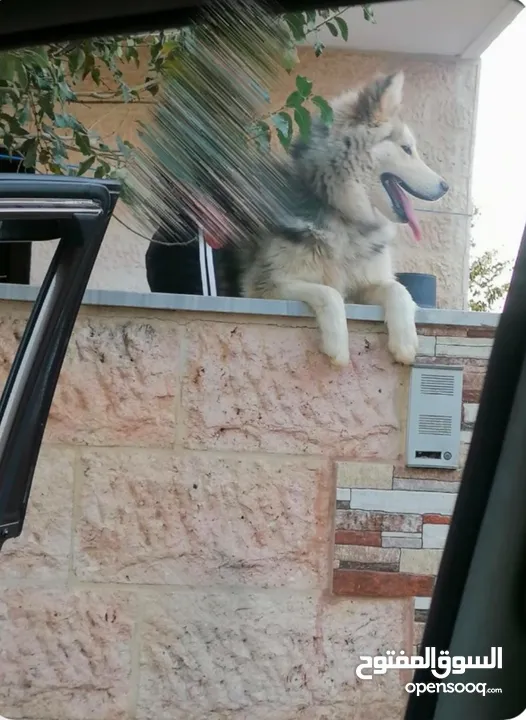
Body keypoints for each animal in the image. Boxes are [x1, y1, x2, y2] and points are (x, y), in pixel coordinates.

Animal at [239, 71, 450, 366]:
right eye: (407, 149)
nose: (446, 187)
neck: (346, 216)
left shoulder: (367, 284)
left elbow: (398, 289)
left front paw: (406, 341)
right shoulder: (266, 285)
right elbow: (329, 292)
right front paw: (338, 345)